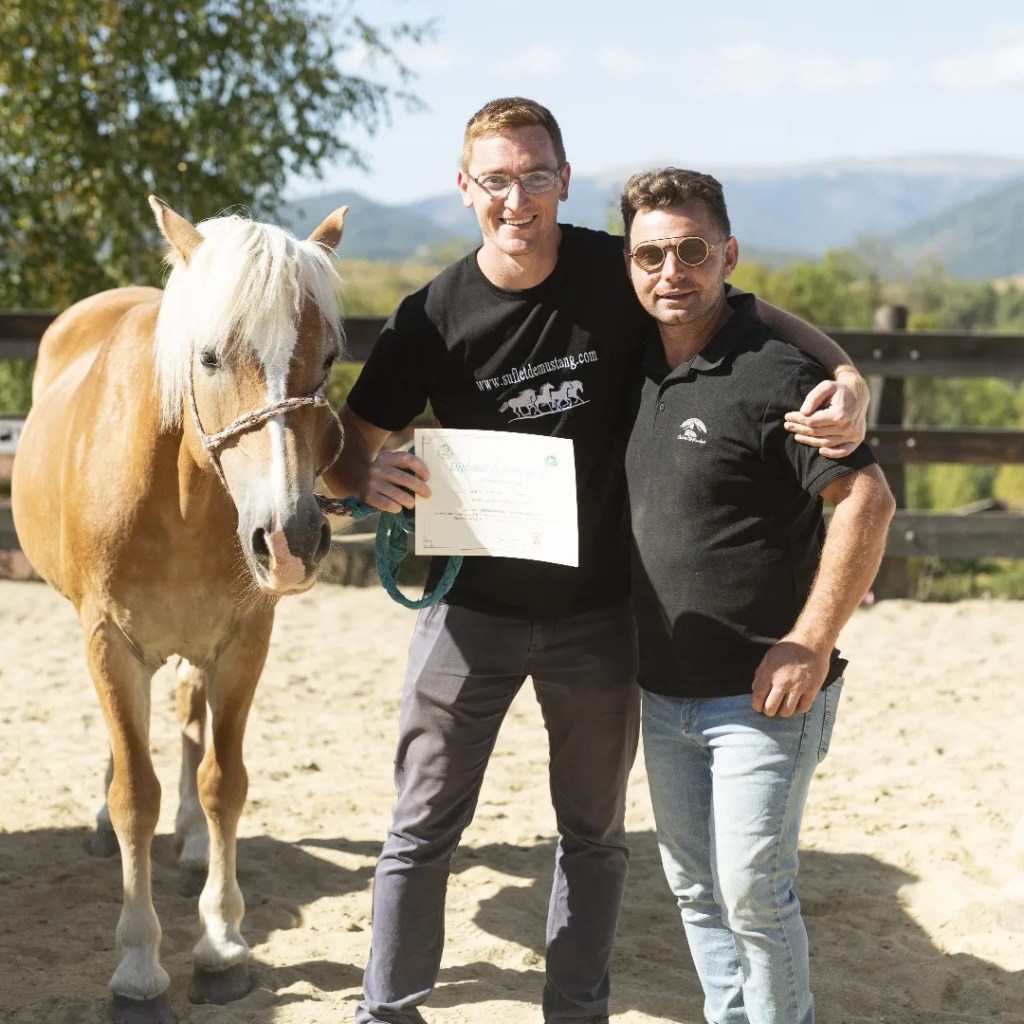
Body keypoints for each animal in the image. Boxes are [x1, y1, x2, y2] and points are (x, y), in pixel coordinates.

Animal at [11, 195, 348, 1023]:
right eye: (210, 358)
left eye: (328, 358)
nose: (291, 538)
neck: (182, 492)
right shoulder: (108, 641)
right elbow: (136, 792)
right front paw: (138, 967)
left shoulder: (244, 642)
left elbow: (225, 782)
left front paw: (221, 944)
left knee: (192, 720)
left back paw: (193, 843)